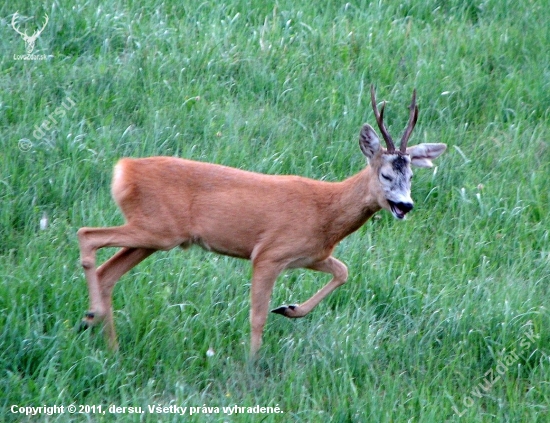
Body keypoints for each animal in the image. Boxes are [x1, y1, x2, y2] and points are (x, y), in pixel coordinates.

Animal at [78, 86, 448, 358]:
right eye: (386, 174)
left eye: (411, 176)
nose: (405, 205)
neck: (326, 211)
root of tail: (123, 170)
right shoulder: (269, 254)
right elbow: (257, 316)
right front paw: (253, 362)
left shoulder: (310, 254)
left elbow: (343, 271)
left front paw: (289, 308)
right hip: (158, 230)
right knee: (87, 234)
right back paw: (93, 316)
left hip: (152, 238)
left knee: (107, 272)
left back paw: (108, 343)